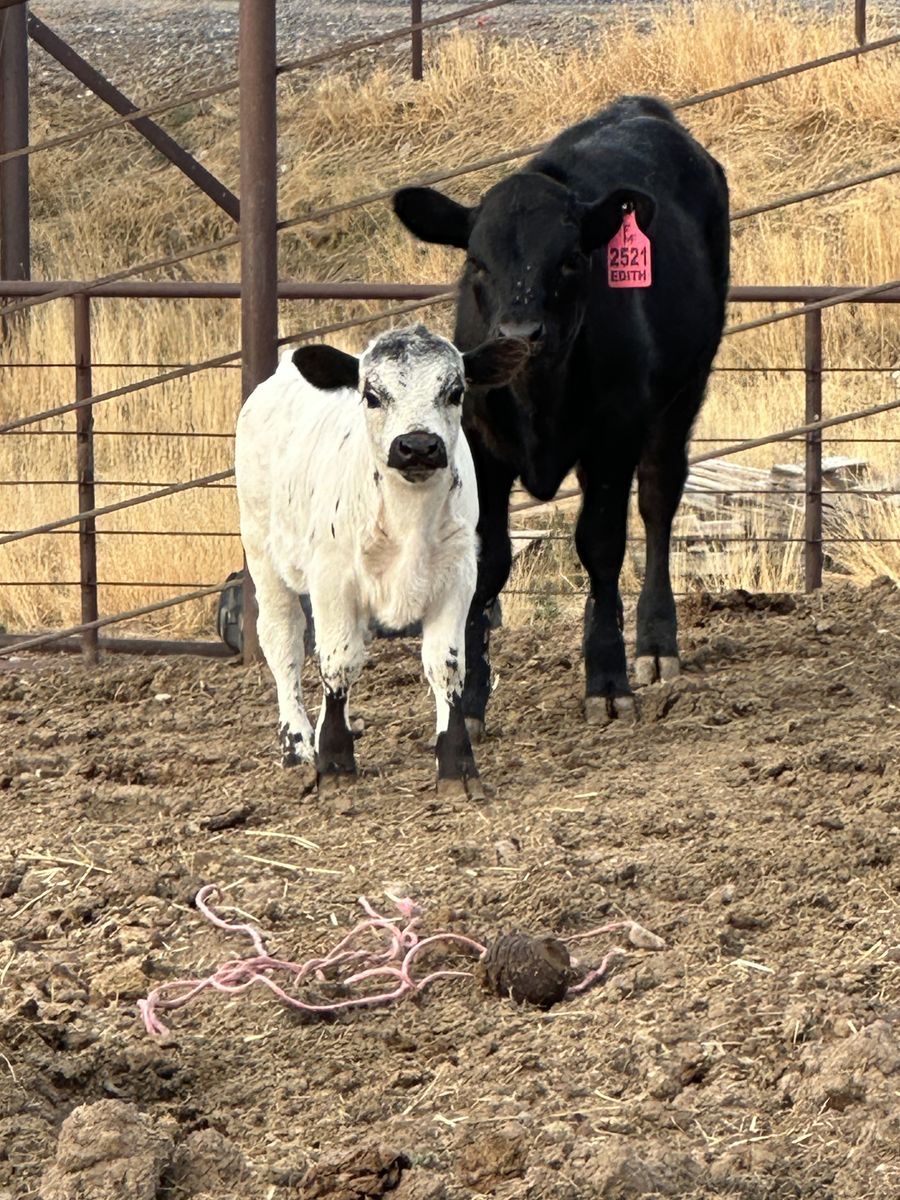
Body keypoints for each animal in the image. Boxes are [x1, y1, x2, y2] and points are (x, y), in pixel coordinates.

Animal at [234, 325, 529, 796]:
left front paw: (457, 766)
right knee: (284, 641)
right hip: (262, 551)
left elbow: (446, 666)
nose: (418, 446)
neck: (407, 520)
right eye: (371, 395)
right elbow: (337, 662)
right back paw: (298, 744)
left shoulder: (458, 578)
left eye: (455, 391)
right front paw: (335, 761)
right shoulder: (333, 579)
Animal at [392, 95, 730, 736]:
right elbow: (488, 561)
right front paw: (467, 699)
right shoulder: (478, 448)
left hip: (683, 392)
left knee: (657, 501)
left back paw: (655, 644)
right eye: (477, 262)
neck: (537, 397)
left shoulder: (613, 440)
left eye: (572, 260)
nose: (519, 334)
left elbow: (600, 545)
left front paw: (608, 682)